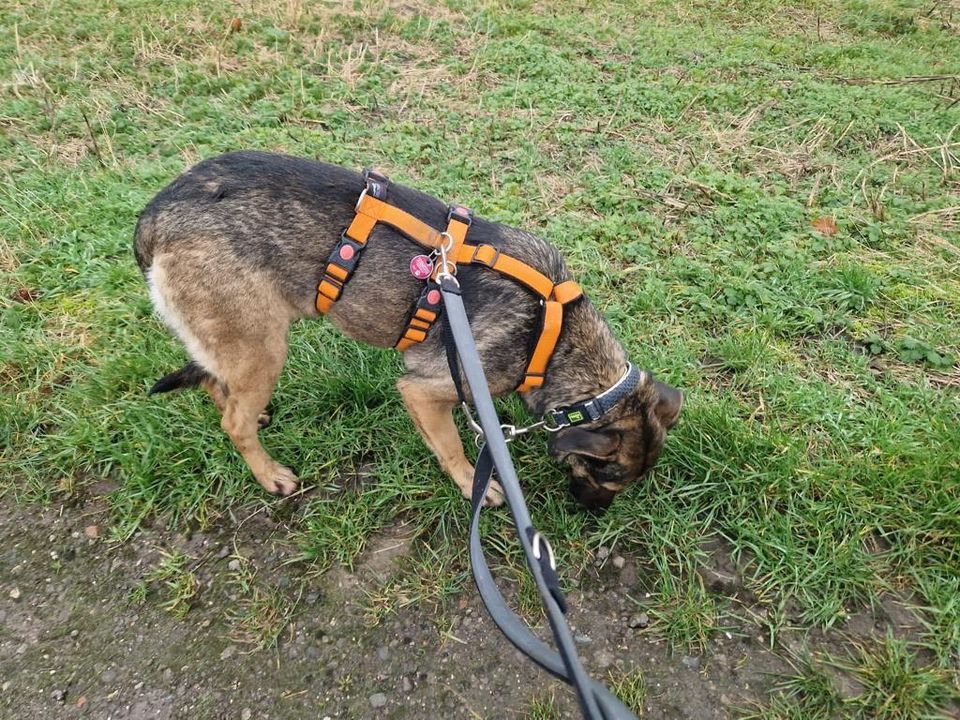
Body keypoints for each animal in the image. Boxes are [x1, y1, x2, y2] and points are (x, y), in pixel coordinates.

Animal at [133, 152, 684, 512]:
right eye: (605, 475)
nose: (593, 514)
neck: (555, 339)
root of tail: (156, 214)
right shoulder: (424, 391)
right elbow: (453, 446)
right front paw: (474, 485)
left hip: (239, 344)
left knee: (216, 385)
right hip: (262, 347)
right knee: (232, 420)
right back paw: (270, 475)